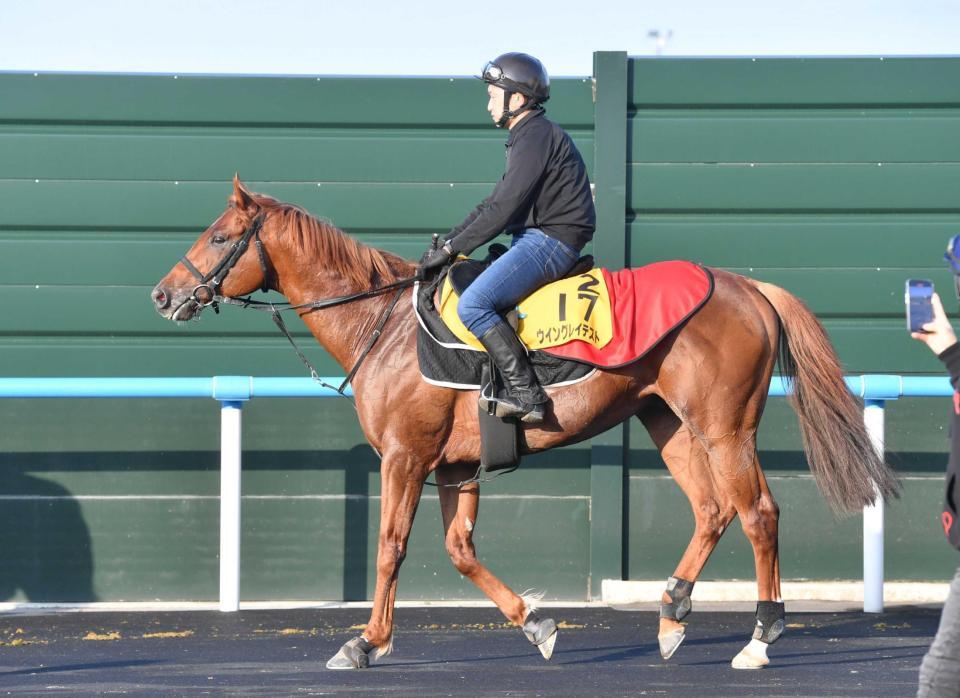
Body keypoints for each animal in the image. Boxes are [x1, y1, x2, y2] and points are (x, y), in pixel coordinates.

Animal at [152, 178, 900, 668]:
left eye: (220, 237)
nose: (163, 294)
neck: (383, 326)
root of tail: (748, 287)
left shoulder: (405, 457)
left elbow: (391, 547)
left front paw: (367, 641)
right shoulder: (455, 467)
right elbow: (460, 551)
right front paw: (535, 624)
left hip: (724, 429)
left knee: (759, 514)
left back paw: (760, 637)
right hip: (669, 424)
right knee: (713, 510)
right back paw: (670, 613)